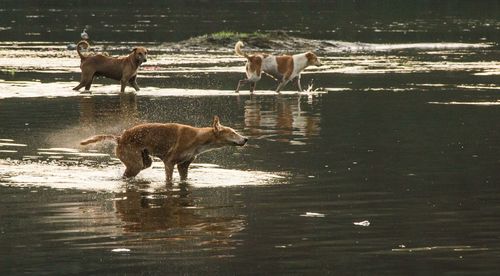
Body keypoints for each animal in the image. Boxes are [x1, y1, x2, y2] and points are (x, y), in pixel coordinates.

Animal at [79, 116, 248, 183]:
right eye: (232, 133)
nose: (246, 139)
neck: (199, 138)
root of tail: (120, 138)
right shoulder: (169, 162)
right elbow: (169, 179)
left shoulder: (183, 165)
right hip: (134, 163)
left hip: (144, 160)